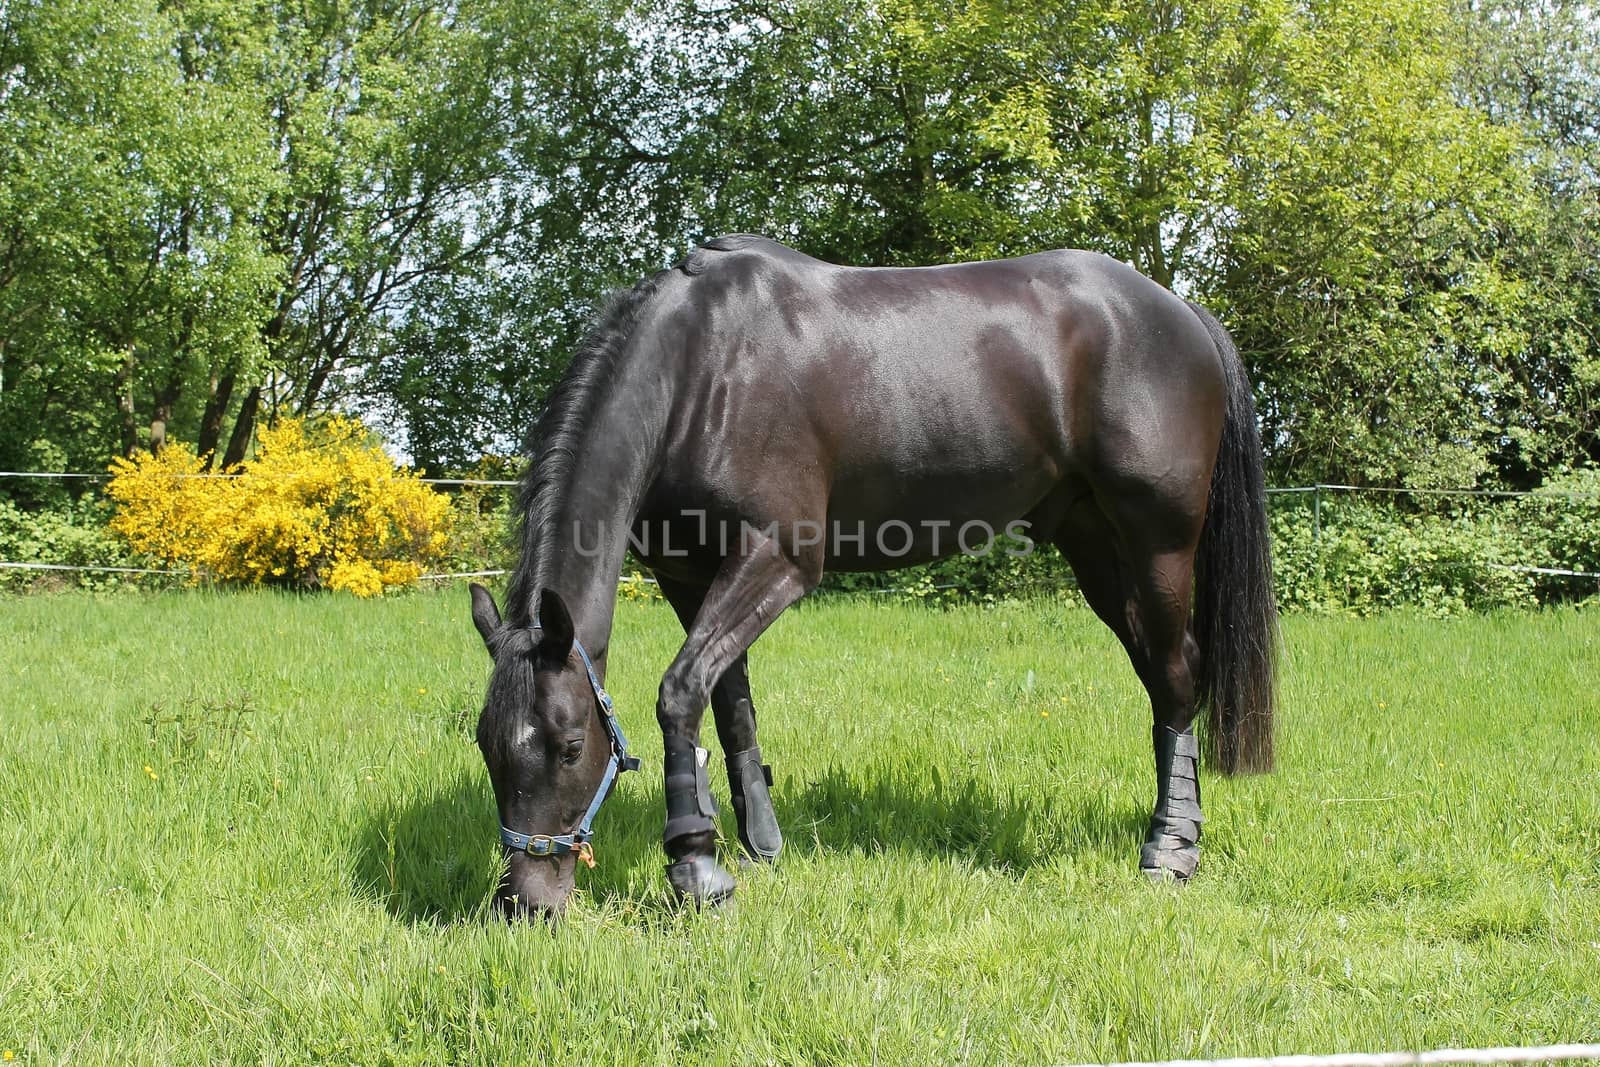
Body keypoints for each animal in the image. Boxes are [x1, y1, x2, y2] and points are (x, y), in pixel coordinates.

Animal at [464, 233, 1273, 921]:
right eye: (486, 745)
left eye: (571, 746)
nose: (525, 904)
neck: (701, 366)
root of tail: (1180, 311)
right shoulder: (689, 575)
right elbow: (727, 704)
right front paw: (755, 844)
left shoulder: (778, 557)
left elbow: (680, 691)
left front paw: (696, 866)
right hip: (1095, 546)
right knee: (1161, 676)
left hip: (1158, 544)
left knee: (1176, 676)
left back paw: (1172, 847)